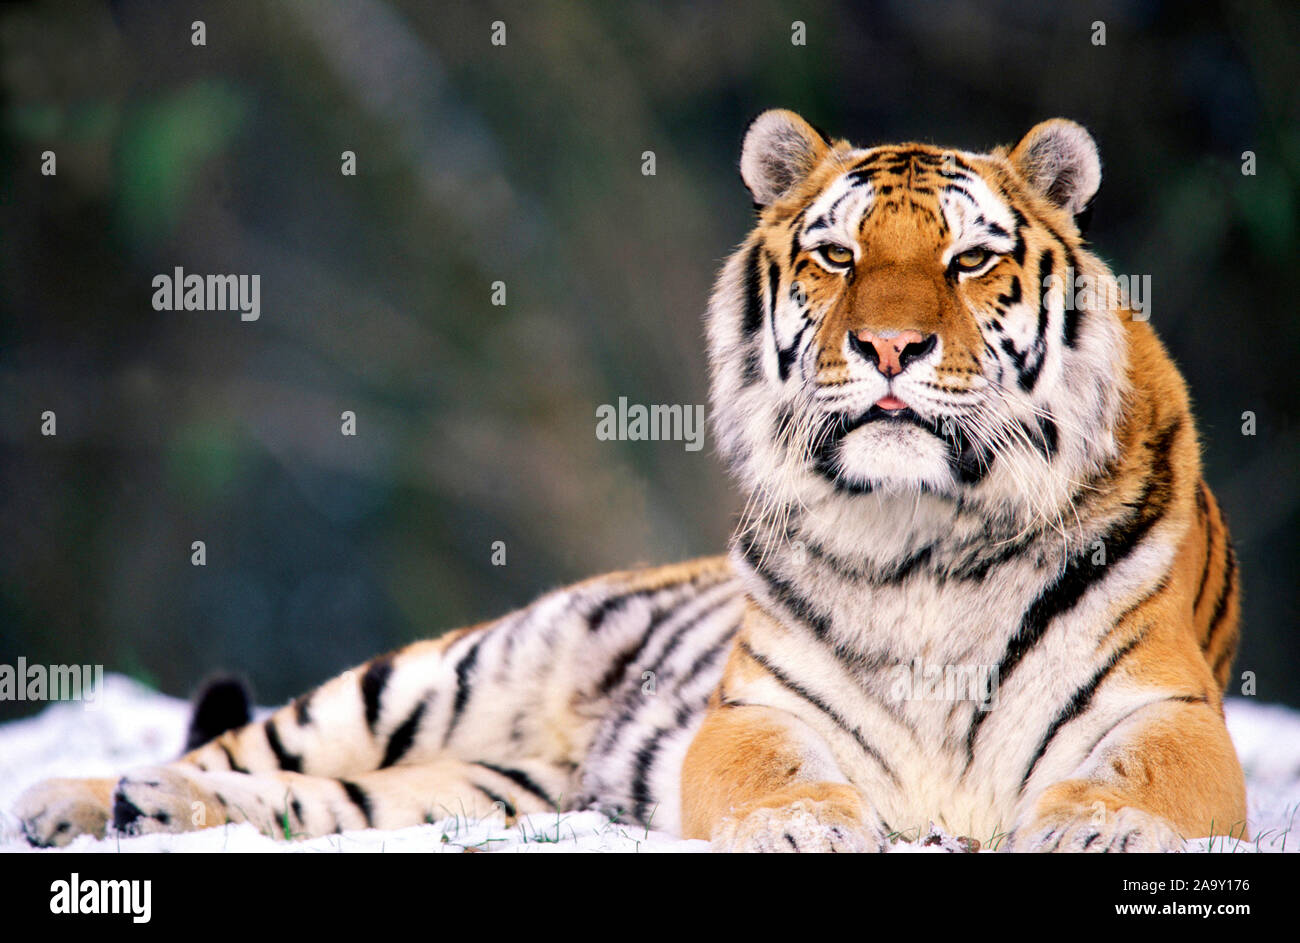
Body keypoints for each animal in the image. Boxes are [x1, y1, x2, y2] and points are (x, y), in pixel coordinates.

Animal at [12, 110, 1248, 853]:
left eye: (971, 258)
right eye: (837, 255)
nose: (888, 349)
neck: (923, 533)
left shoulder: (1174, 710)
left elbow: (1140, 774)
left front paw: (1096, 828)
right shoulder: (752, 714)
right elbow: (777, 771)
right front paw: (805, 825)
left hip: (490, 789)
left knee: (321, 802)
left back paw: (144, 810)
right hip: (434, 678)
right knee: (251, 746)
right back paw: (76, 799)